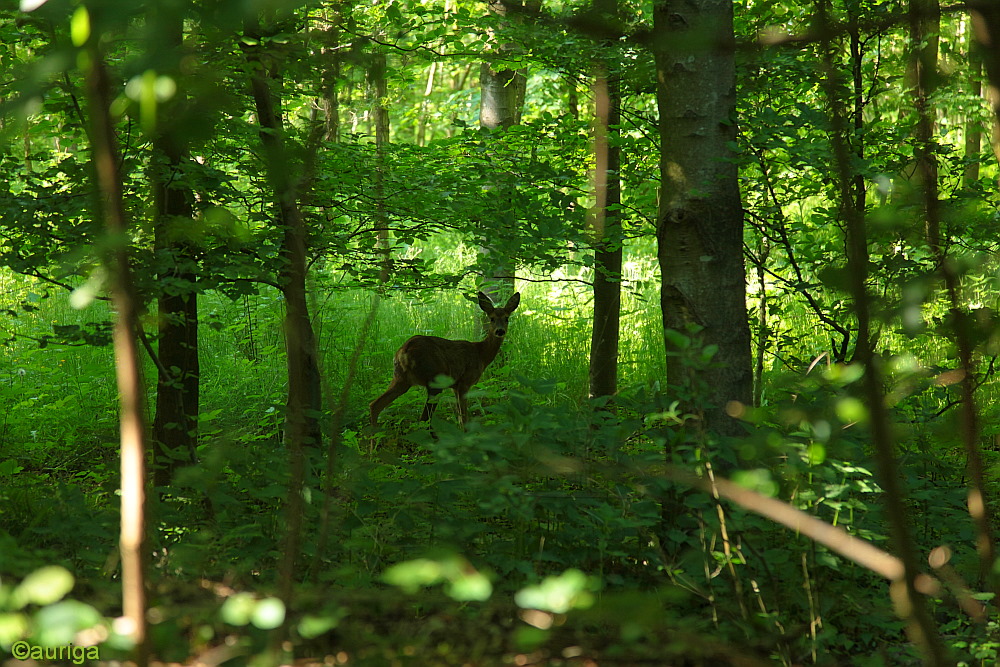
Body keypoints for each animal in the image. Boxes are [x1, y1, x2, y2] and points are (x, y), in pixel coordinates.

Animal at [370, 290, 524, 428]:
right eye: (492, 318)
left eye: (507, 318)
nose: (500, 331)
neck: (481, 354)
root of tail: (404, 350)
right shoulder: (464, 382)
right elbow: (464, 419)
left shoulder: (454, 386)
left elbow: (460, 418)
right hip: (434, 380)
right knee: (424, 419)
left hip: (401, 378)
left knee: (375, 405)